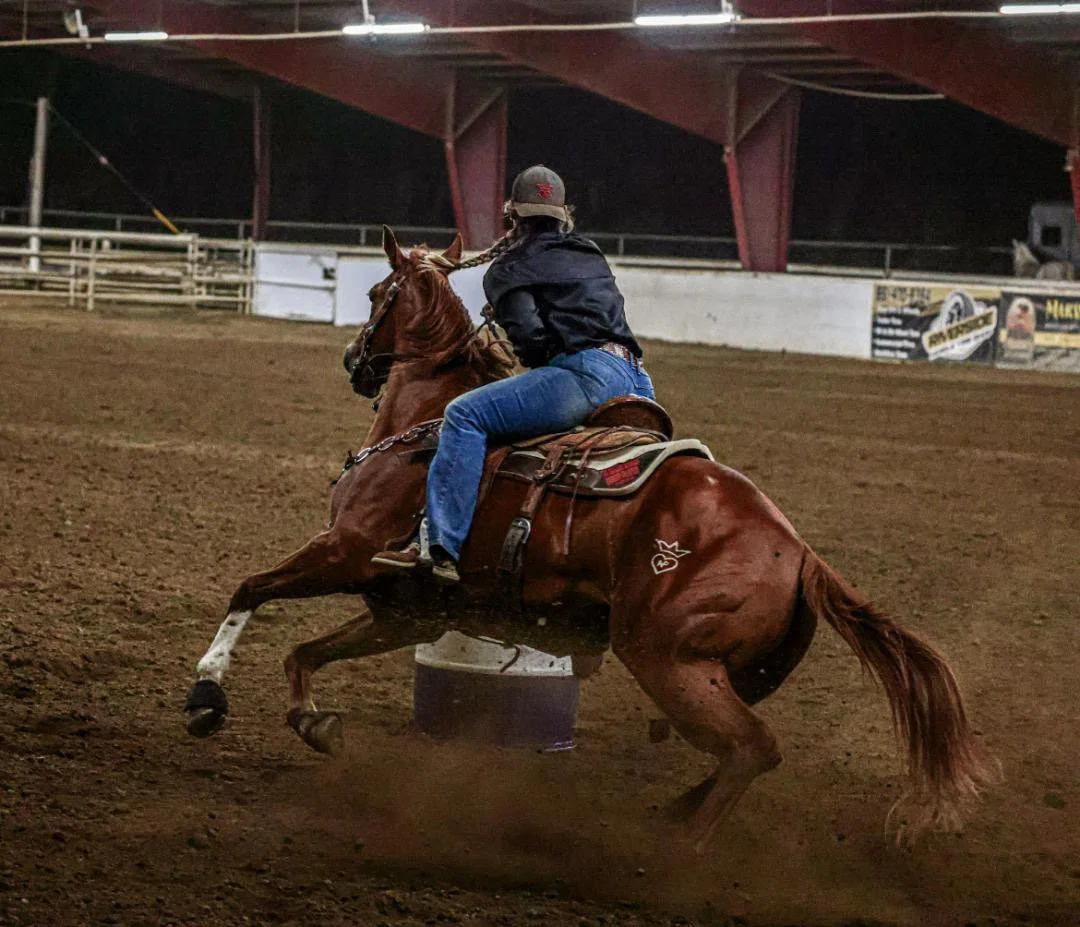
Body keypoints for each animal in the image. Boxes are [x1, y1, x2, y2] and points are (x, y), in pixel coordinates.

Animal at [183, 226, 997, 849]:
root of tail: (798, 550)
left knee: (751, 748)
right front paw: (314, 722)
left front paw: (206, 694)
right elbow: (302, 654)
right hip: (718, 670)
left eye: (378, 295)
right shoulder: (403, 610)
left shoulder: (347, 550)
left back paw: (675, 853)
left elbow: (249, 589)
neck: (426, 422)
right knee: (740, 750)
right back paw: (671, 816)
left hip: (667, 659)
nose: (355, 362)